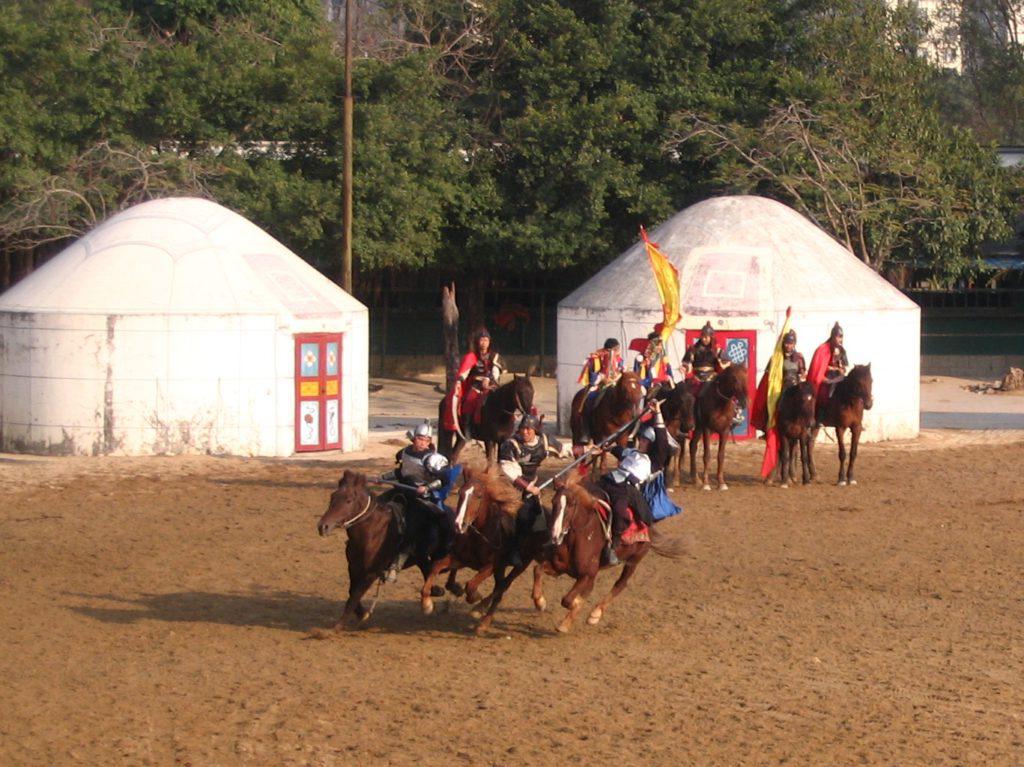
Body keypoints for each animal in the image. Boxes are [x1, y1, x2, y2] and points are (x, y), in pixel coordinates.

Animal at [313, 469, 438, 626]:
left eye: (349, 500)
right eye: (332, 497)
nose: (323, 526)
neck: (372, 532)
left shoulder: (371, 573)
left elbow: (355, 596)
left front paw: (338, 626)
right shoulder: (354, 568)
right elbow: (352, 592)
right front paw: (362, 614)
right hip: (421, 558)